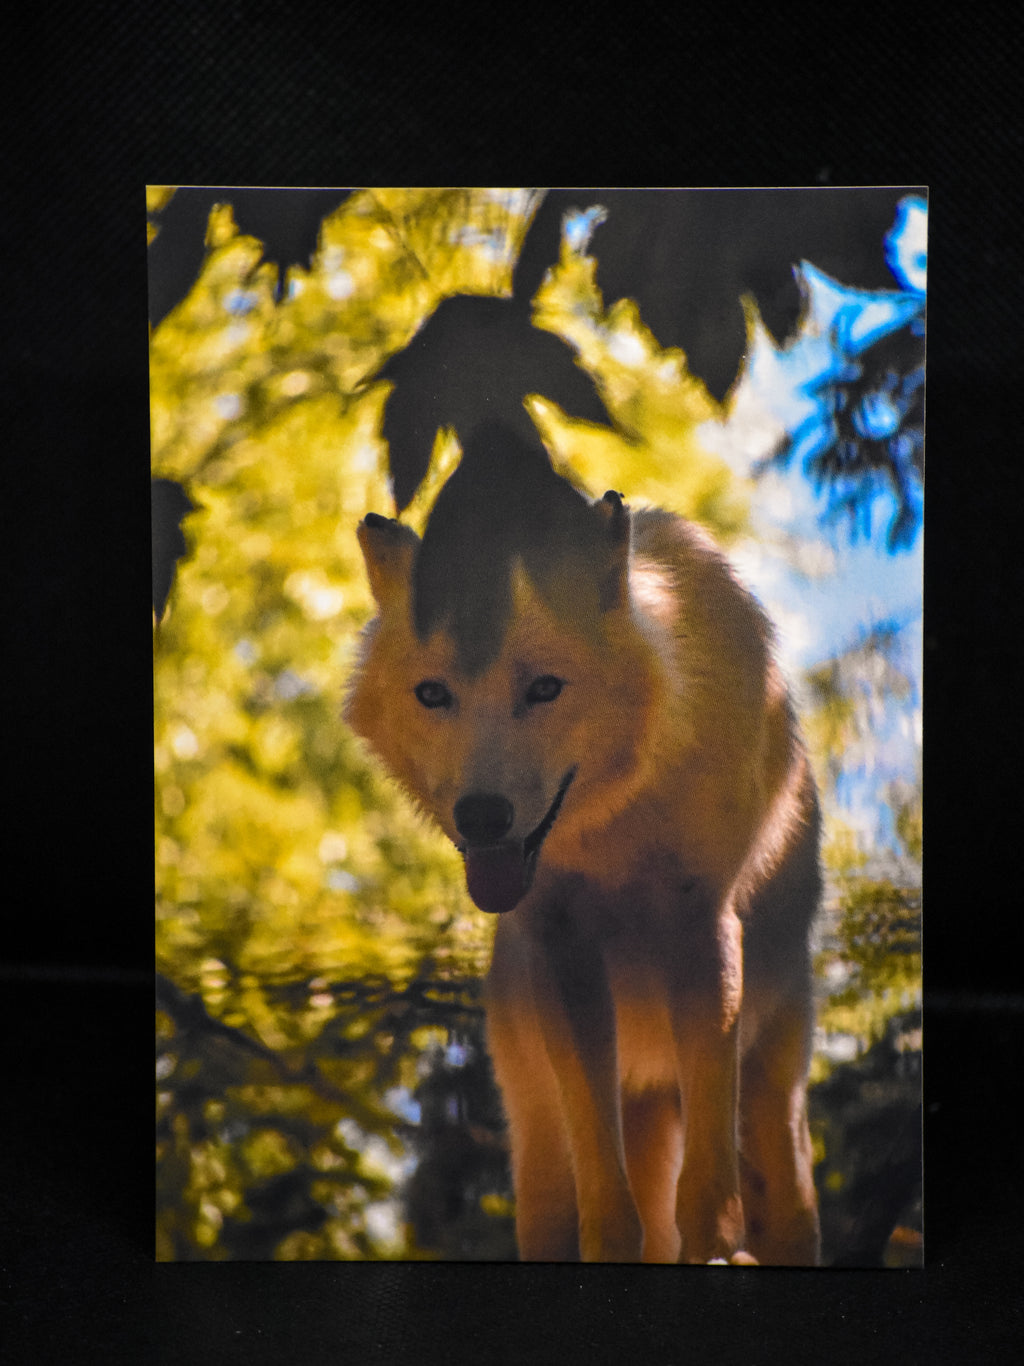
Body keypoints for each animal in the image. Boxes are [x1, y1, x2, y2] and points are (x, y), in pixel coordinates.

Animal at [345, 424, 821, 1264]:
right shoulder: (563, 950)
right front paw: (614, 1244)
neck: (615, 827)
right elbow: (609, 1188)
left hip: (779, 1107)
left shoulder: (704, 931)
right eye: (433, 694)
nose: (482, 816)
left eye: (545, 688)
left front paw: (715, 1246)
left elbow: (707, 1173)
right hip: (535, 1133)